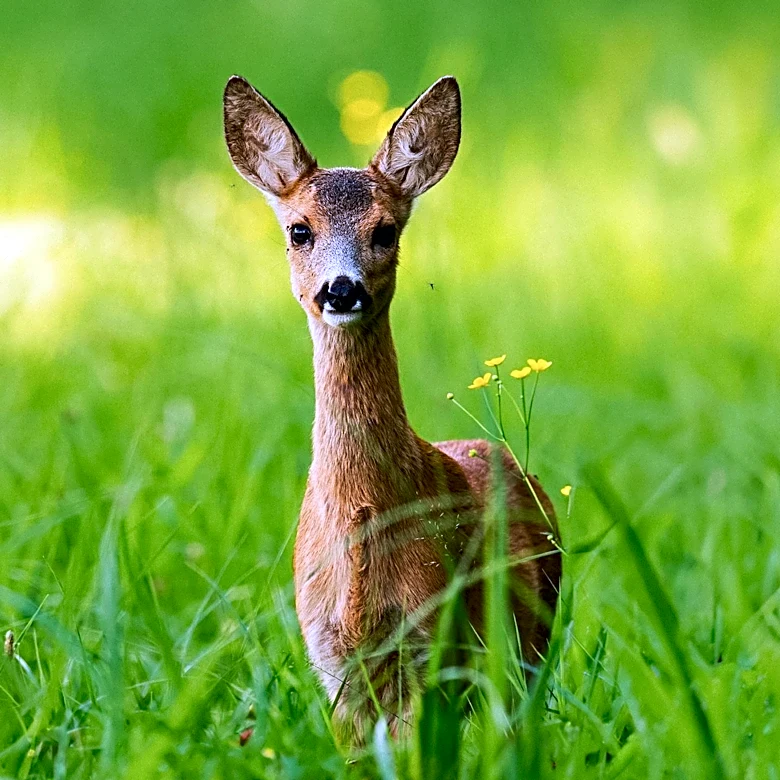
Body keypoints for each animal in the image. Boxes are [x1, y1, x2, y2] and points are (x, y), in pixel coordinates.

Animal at [223, 74, 561, 740]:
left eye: (384, 231)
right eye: (299, 230)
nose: (341, 289)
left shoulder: (432, 637)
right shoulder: (329, 657)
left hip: (528, 643)